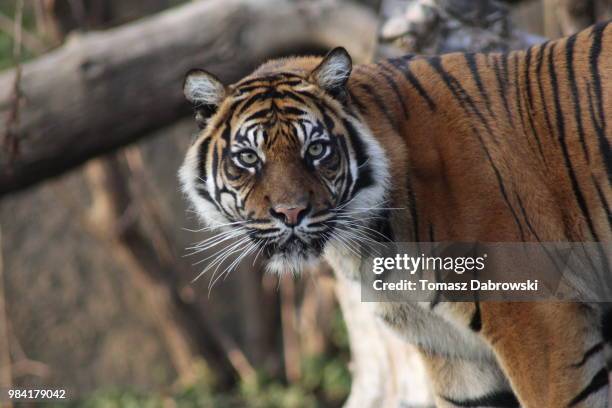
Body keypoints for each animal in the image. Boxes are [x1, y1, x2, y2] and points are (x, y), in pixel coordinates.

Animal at [179, 22, 608, 408]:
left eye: (315, 150)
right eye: (249, 158)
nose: (291, 212)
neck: (368, 242)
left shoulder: (541, 319)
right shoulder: (454, 354)